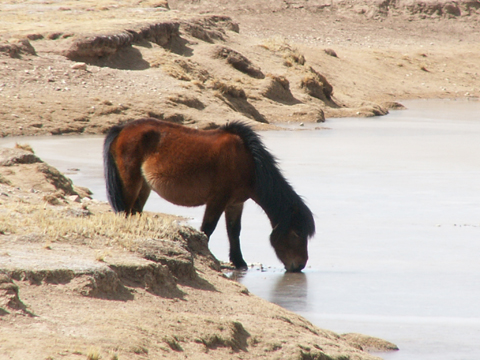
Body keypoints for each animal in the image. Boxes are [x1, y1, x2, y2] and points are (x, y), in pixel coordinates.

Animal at [103, 119, 316, 272]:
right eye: (297, 233)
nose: (299, 266)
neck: (249, 163)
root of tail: (122, 129)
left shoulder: (235, 204)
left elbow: (234, 231)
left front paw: (239, 262)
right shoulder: (217, 199)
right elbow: (208, 228)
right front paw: (204, 256)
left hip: (144, 186)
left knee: (135, 211)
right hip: (131, 183)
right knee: (125, 211)